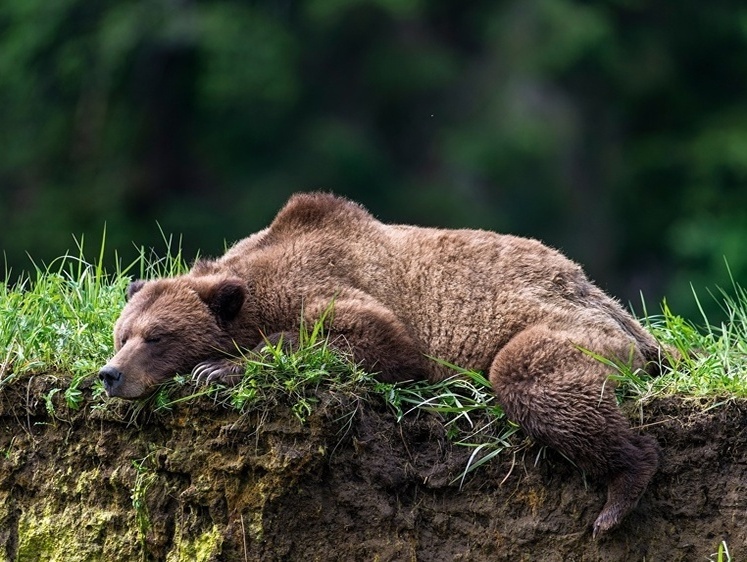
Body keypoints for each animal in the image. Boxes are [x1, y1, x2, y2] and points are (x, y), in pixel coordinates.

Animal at [99, 192, 664, 537]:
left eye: (157, 337)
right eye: (122, 334)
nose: (110, 374)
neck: (259, 290)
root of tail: (596, 290)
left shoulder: (342, 287)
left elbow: (373, 340)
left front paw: (218, 367)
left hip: (565, 324)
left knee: (531, 376)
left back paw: (619, 493)